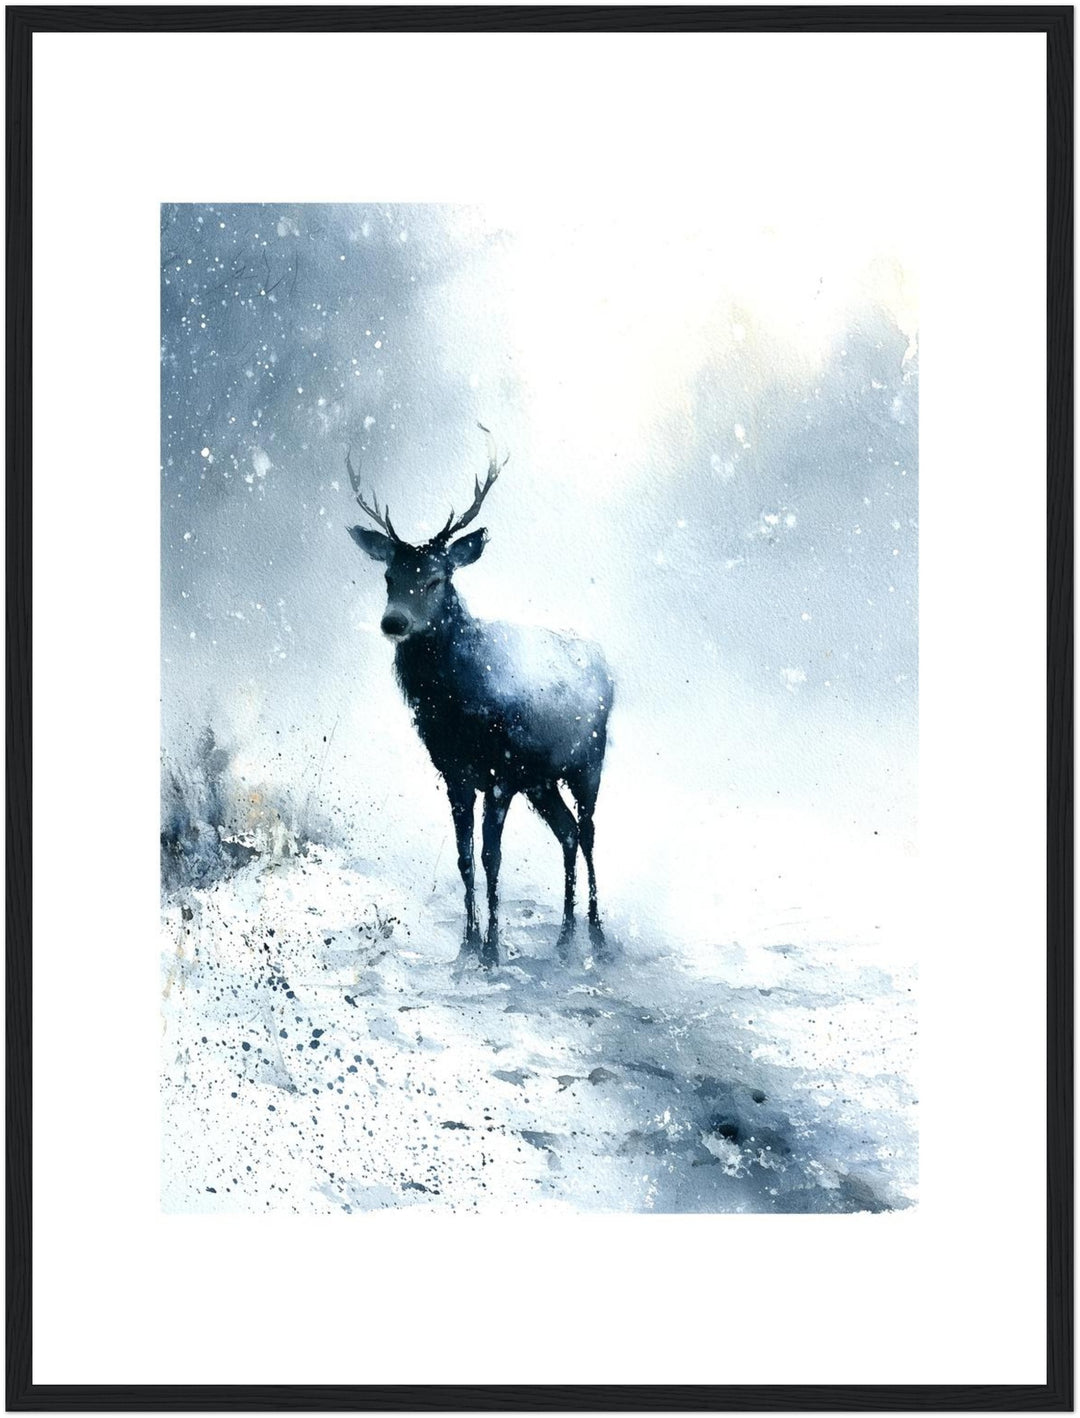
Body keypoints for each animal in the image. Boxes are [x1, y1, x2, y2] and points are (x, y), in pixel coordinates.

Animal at [346, 426, 613, 968]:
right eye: (389, 577)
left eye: (436, 577)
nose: (393, 622)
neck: (456, 708)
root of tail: (609, 668)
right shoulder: (455, 772)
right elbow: (465, 857)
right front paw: (465, 946)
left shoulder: (501, 772)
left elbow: (492, 856)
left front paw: (491, 949)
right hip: (542, 780)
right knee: (568, 832)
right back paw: (564, 936)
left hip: (589, 760)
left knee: (590, 832)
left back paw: (597, 934)